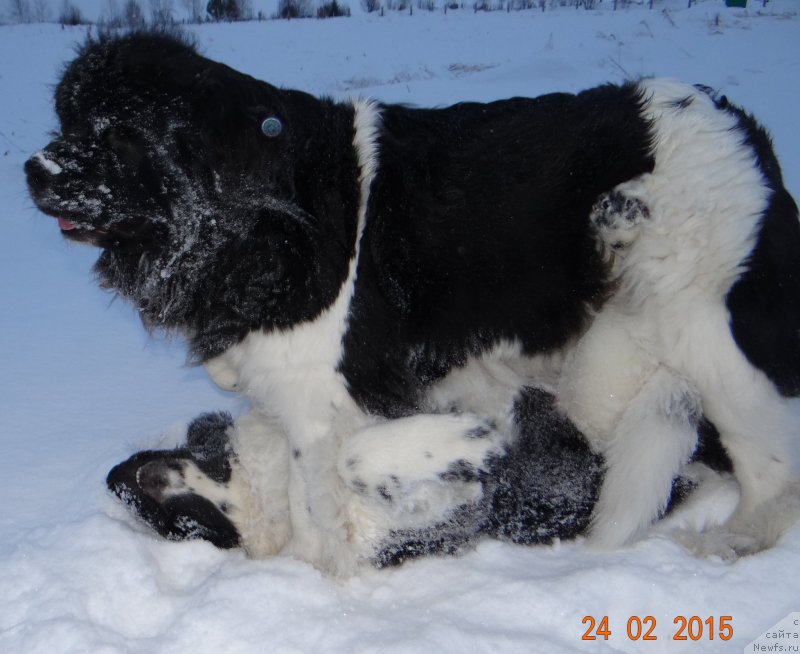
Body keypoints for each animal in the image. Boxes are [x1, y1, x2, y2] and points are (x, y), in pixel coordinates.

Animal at [25, 32, 800, 576]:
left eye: (120, 135)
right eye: (68, 119)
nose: (35, 167)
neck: (258, 217)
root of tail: (738, 124)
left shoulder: (331, 397)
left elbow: (338, 480)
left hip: (710, 333)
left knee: (771, 468)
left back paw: (730, 544)